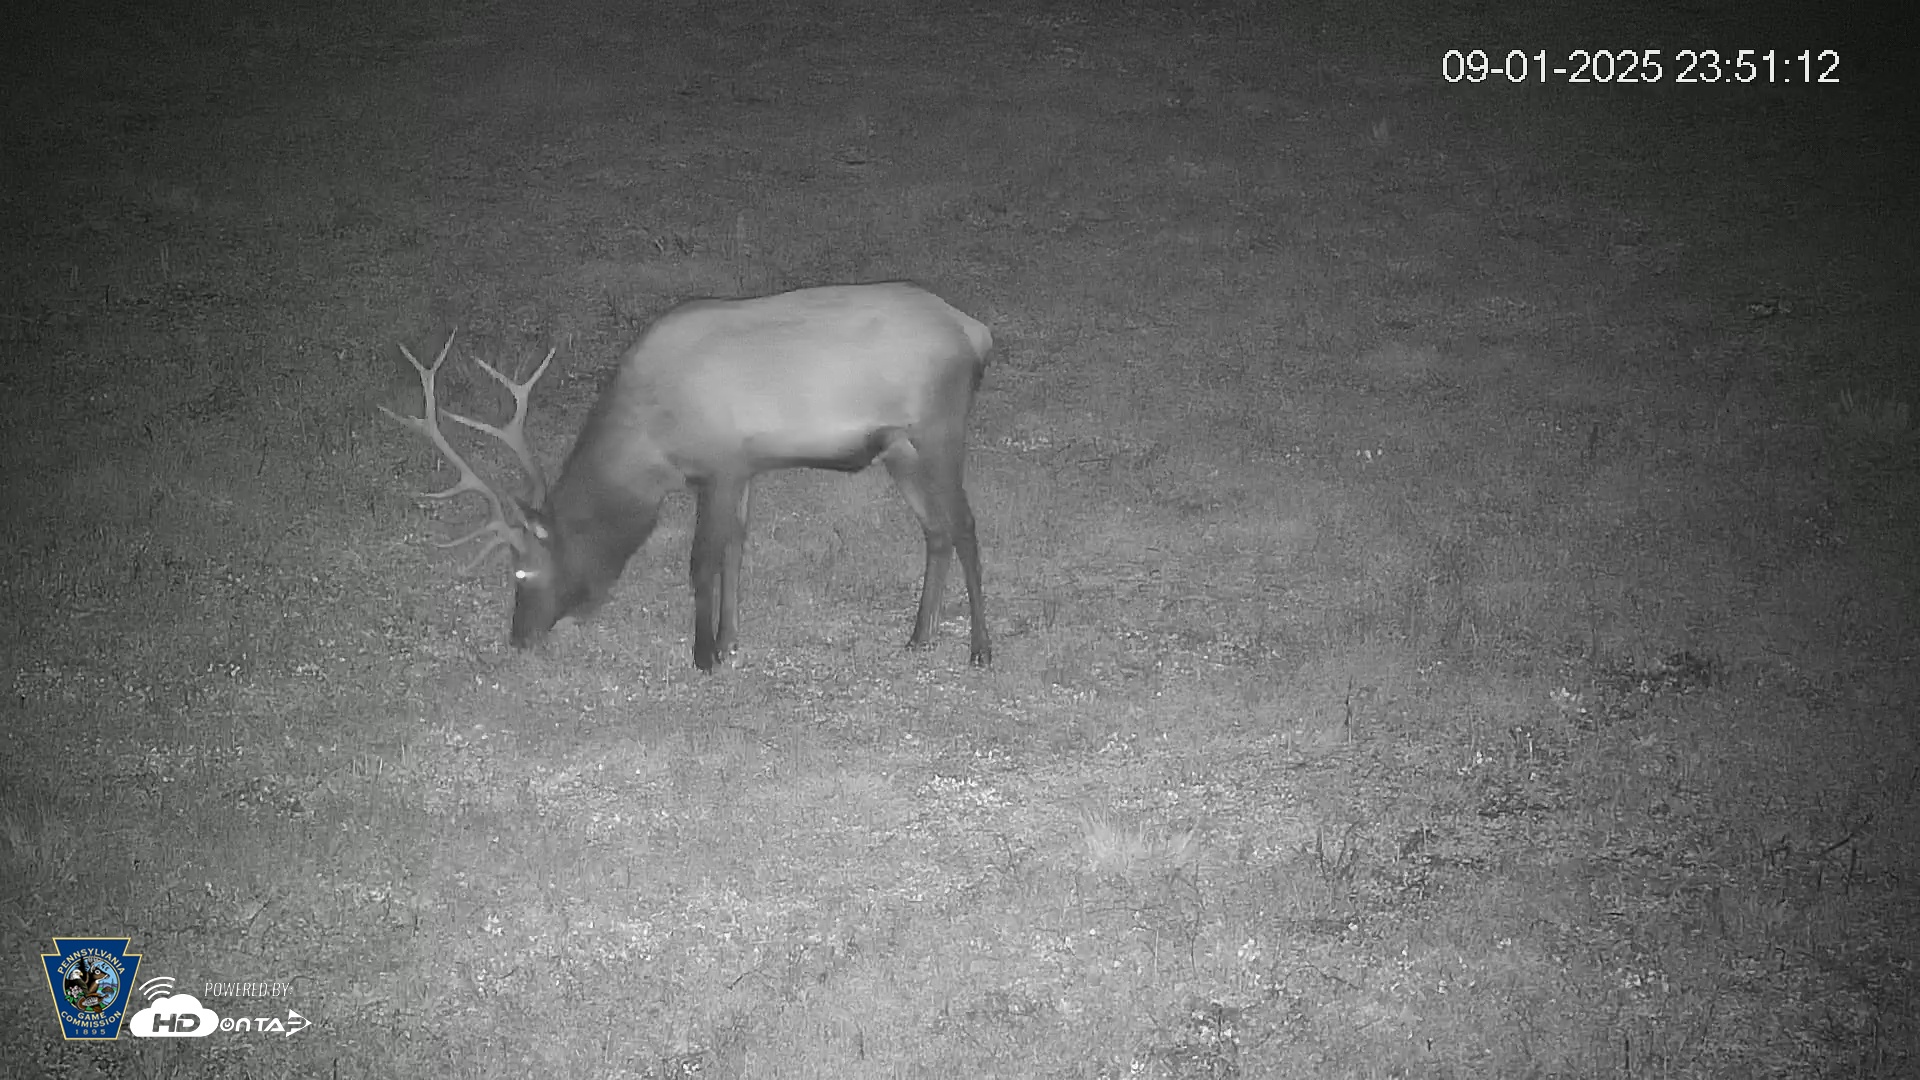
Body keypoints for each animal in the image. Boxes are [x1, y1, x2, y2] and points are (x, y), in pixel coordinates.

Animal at [382, 281, 993, 672]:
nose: (519, 638)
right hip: (899, 448)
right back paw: (920, 636)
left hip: (938, 427)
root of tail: (976, 331)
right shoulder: (740, 470)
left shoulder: (718, 466)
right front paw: (730, 642)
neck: (652, 452)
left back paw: (980, 649)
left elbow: (701, 561)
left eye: (521, 573)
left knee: (965, 525)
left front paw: (703, 655)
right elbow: (734, 551)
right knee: (936, 530)